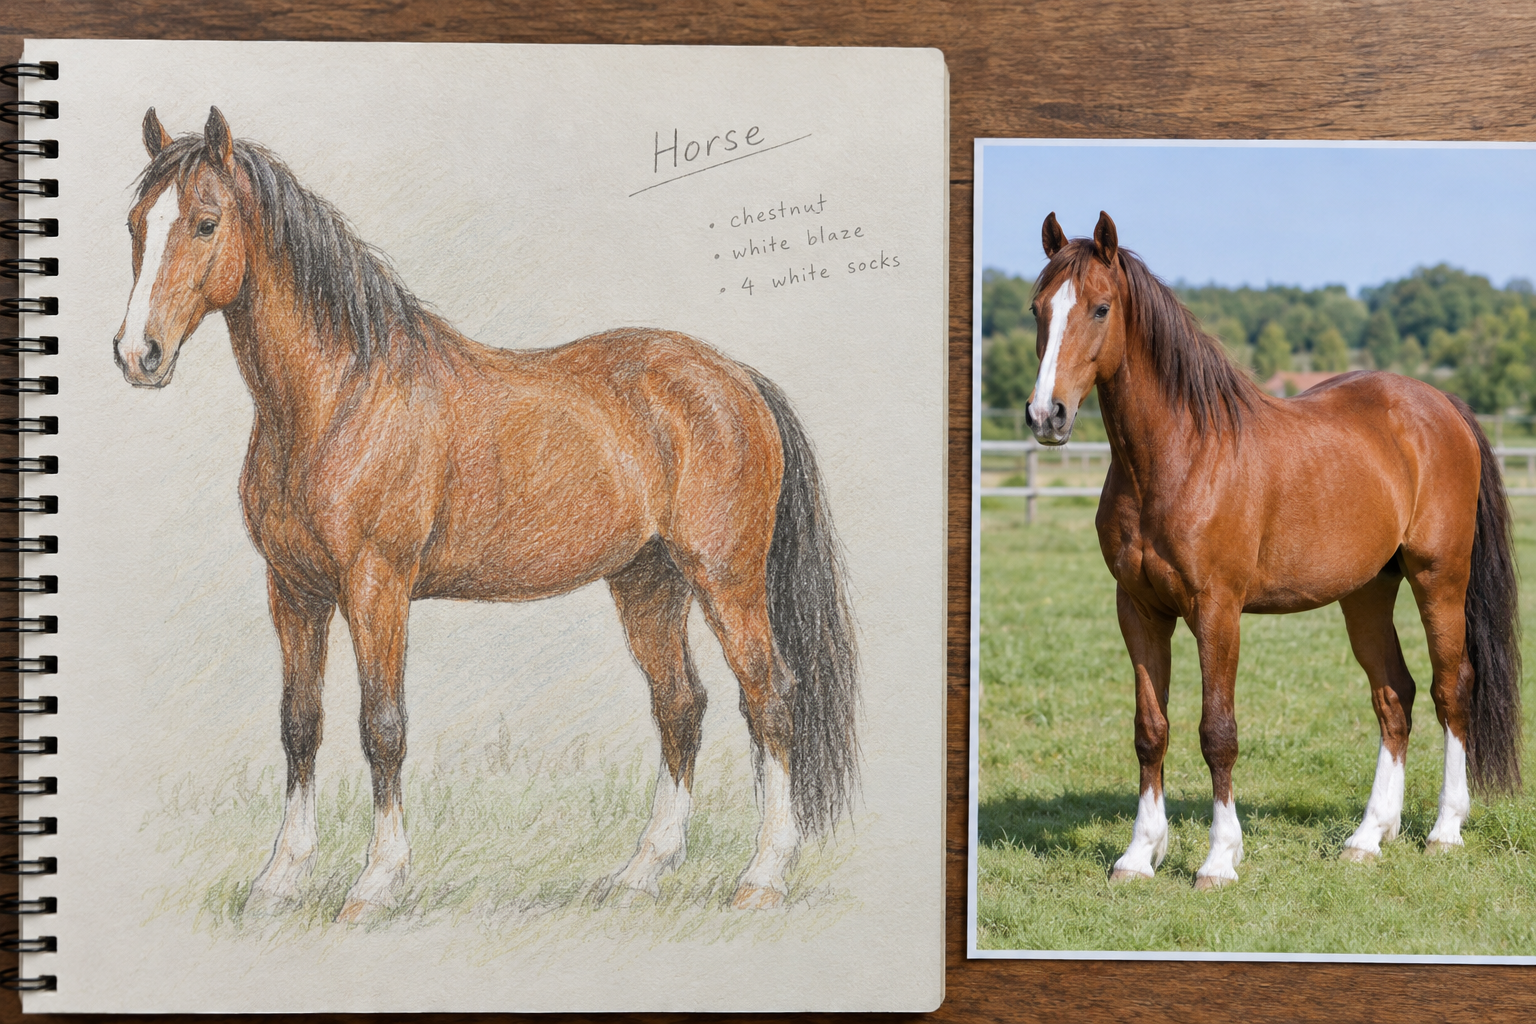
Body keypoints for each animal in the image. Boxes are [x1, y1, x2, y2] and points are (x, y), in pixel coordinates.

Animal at [112, 106, 859, 922]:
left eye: (206, 222)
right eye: (136, 224)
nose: (138, 355)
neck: (341, 397)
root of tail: (737, 379)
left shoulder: (377, 586)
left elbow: (382, 726)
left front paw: (376, 882)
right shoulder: (293, 591)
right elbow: (300, 725)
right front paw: (280, 878)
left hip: (725, 579)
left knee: (769, 698)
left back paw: (763, 875)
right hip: (647, 582)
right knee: (680, 705)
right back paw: (642, 870)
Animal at [1023, 211, 1522, 889]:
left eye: (1100, 308)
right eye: (1037, 309)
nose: (1046, 415)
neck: (1179, 456)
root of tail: (1441, 405)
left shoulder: (1217, 611)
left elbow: (1218, 732)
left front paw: (1218, 859)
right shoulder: (1139, 610)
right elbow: (1151, 730)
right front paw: (1138, 854)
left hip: (1439, 579)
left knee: (1453, 688)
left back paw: (1445, 830)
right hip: (1367, 593)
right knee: (1395, 696)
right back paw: (1369, 836)